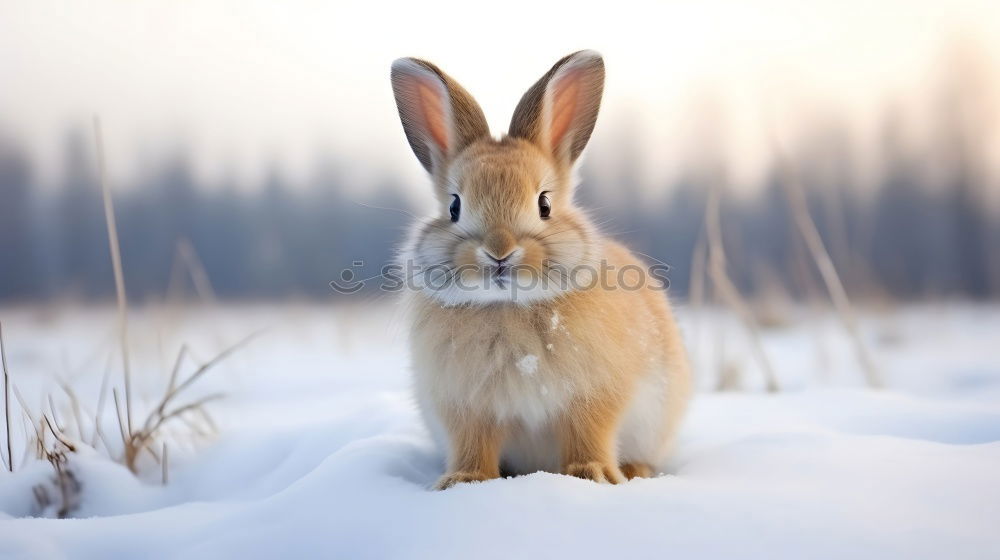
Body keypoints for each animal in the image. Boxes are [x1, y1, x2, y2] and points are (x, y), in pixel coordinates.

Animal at [390, 52, 696, 490]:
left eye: (544, 204)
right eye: (454, 206)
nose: (499, 252)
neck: (507, 305)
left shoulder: (594, 396)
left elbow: (589, 434)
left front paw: (594, 475)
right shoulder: (465, 408)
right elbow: (473, 444)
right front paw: (463, 481)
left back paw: (634, 470)